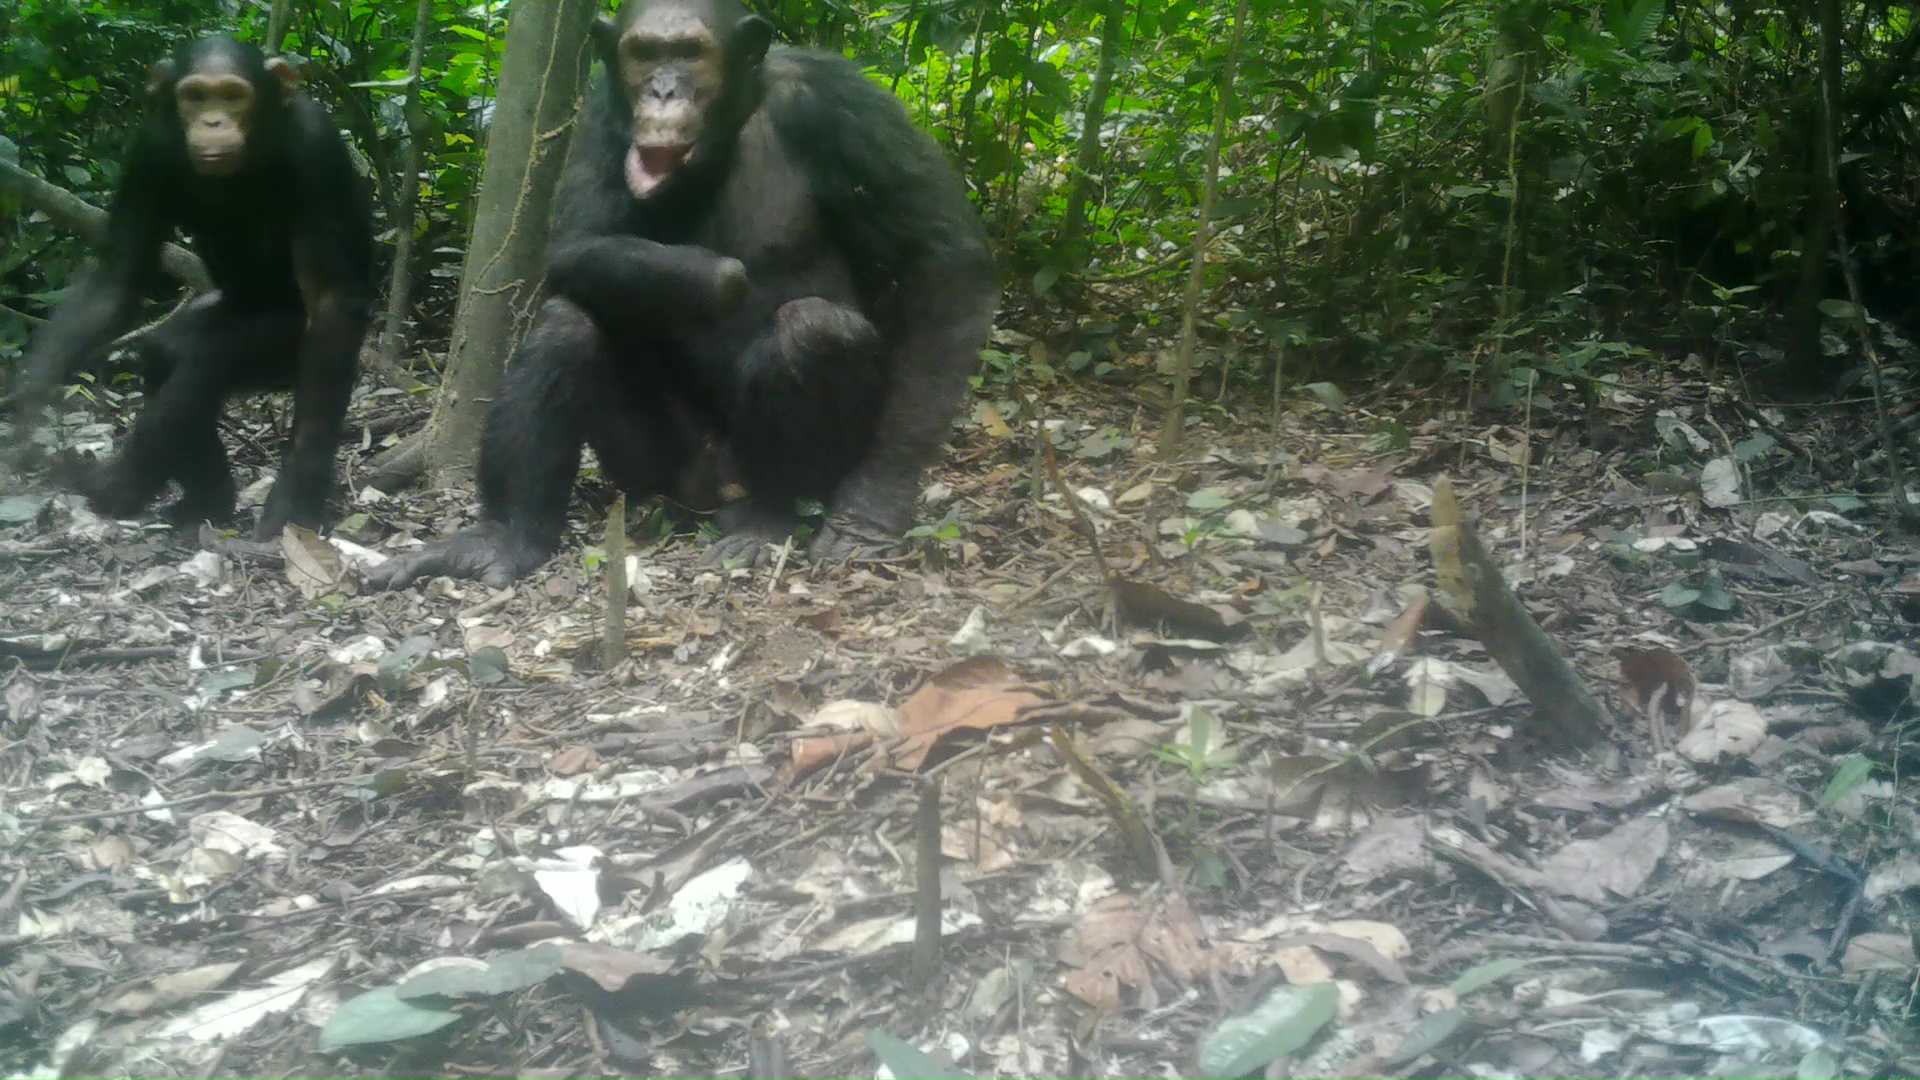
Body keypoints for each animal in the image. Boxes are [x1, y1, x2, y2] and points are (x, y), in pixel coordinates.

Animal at [11, 33, 376, 538]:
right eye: (196, 96)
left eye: (233, 95)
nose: (213, 121)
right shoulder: (146, 149)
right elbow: (119, 274)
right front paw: (26, 406)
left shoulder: (316, 147)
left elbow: (331, 303)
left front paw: (296, 496)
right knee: (164, 353)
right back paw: (206, 500)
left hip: (284, 350)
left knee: (206, 362)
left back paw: (117, 487)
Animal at [364, 0, 998, 588]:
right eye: (644, 53)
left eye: (691, 53)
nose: (664, 89)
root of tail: (710, 492)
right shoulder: (600, 110)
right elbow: (574, 244)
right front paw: (714, 277)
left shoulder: (846, 104)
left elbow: (942, 262)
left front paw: (873, 509)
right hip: (657, 468)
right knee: (567, 324)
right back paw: (502, 538)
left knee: (815, 330)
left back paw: (766, 518)